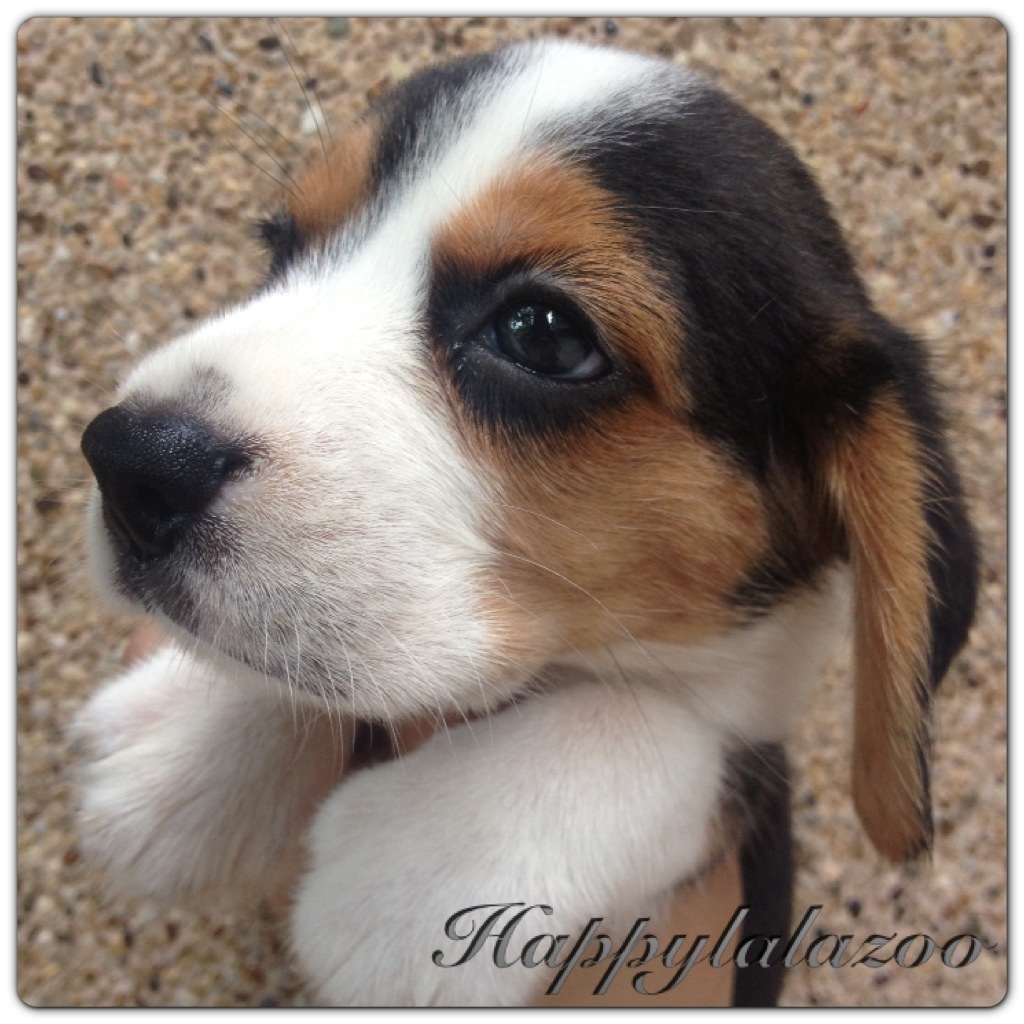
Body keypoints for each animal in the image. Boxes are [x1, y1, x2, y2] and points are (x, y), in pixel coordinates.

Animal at [74, 39, 978, 1006]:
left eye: (543, 334)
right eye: (280, 243)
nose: (130, 464)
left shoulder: (752, 739)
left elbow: (668, 723)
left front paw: (425, 863)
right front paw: (191, 740)